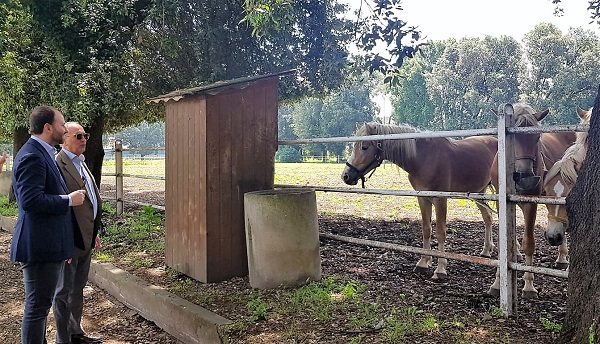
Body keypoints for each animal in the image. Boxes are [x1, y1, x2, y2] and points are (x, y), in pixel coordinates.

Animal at [340, 122, 500, 280]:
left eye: (364, 147)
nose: (345, 176)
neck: (424, 159)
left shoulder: (440, 200)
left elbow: (440, 232)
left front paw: (440, 269)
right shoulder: (422, 198)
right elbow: (426, 229)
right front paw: (423, 262)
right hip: (478, 193)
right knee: (488, 218)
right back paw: (486, 250)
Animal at [490, 102, 584, 298]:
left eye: (537, 137)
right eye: (513, 137)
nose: (525, 176)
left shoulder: (530, 204)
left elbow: (529, 243)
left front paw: (528, 285)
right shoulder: (501, 203)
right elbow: (503, 243)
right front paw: (497, 283)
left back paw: (562, 257)